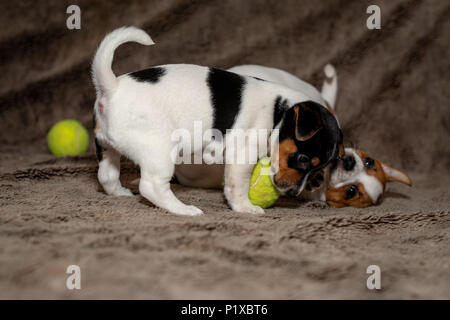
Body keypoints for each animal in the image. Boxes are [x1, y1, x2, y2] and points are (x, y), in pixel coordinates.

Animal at [93, 27, 342, 216]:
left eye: (319, 168)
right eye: (303, 158)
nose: (292, 194)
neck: (278, 111)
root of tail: (112, 88)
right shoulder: (243, 153)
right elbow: (237, 185)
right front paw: (245, 208)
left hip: (105, 146)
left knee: (106, 175)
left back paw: (120, 193)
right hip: (159, 151)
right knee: (152, 186)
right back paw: (184, 210)